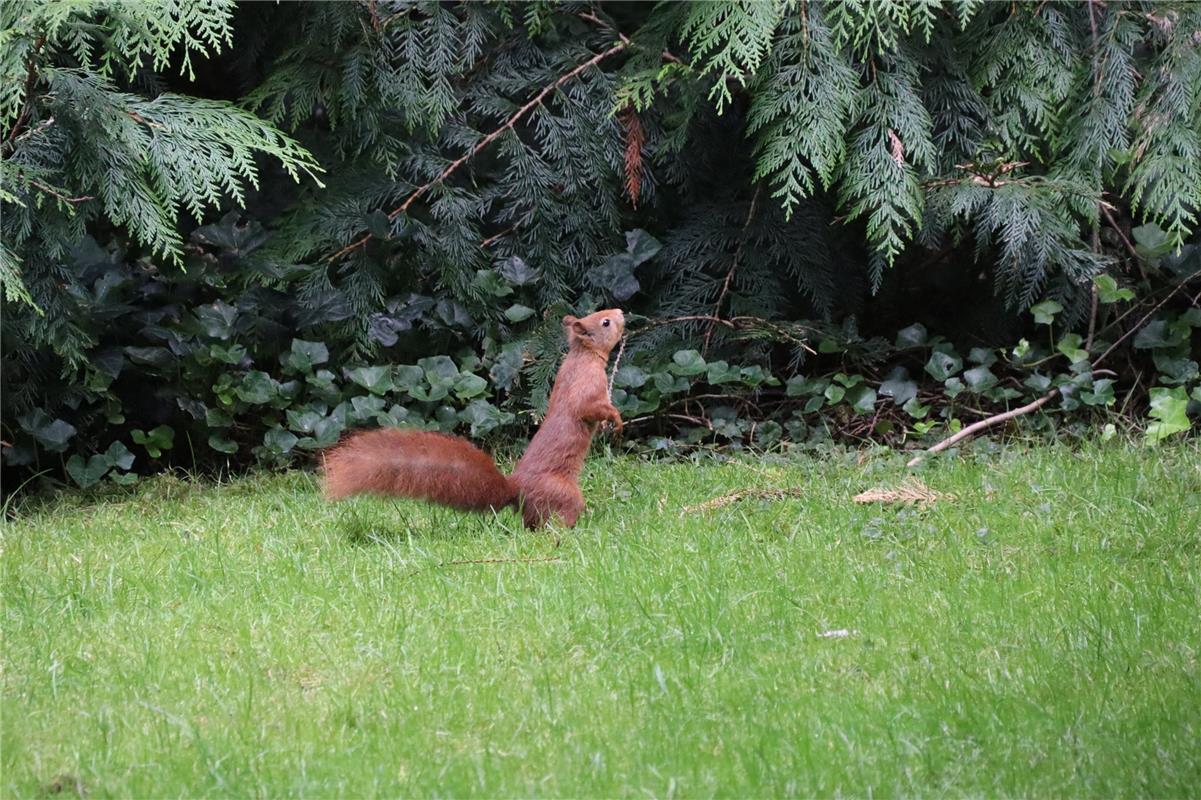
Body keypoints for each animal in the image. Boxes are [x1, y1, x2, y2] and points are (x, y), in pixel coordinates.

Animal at [319, 307, 629, 526]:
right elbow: (588, 408)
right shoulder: (585, 387)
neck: (583, 357)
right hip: (563, 492)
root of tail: (516, 490)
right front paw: (616, 420)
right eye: (605, 322)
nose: (620, 312)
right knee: (558, 517)